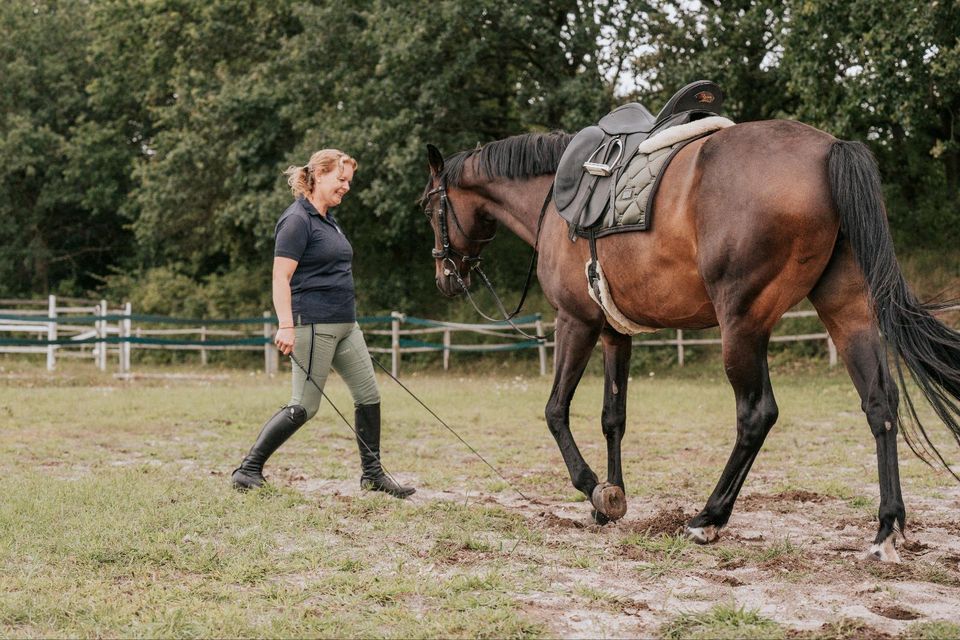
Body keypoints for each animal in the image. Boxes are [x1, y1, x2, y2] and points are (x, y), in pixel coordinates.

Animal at [424, 120, 960, 560]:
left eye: (430, 206)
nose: (445, 277)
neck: (554, 200)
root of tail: (830, 149)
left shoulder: (575, 322)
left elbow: (556, 410)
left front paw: (594, 488)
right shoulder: (616, 333)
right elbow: (613, 418)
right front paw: (612, 498)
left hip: (741, 324)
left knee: (756, 414)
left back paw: (708, 517)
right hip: (847, 310)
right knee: (879, 404)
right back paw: (886, 529)